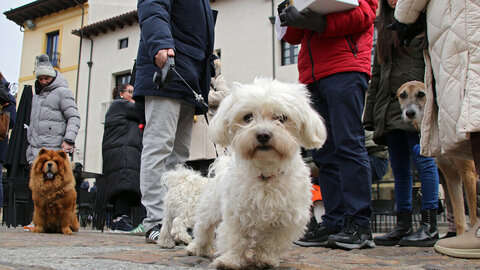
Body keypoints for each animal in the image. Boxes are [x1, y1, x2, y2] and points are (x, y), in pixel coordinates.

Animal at [160, 77, 326, 268]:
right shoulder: (236, 214)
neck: (265, 174)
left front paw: (265, 259)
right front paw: (230, 261)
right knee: (202, 230)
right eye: (248, 117)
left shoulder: (286, 220)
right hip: (205, 209)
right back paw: (195, 247)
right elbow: (235, 240)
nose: (263, 134)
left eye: (282, 118)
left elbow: (272, 242)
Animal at [398, 80, 476, 234]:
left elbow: (474, 217)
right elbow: (460, 220)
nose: (409, 113)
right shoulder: (452, 176)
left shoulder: (468, 173)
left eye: (421, 94)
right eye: (402, 95)